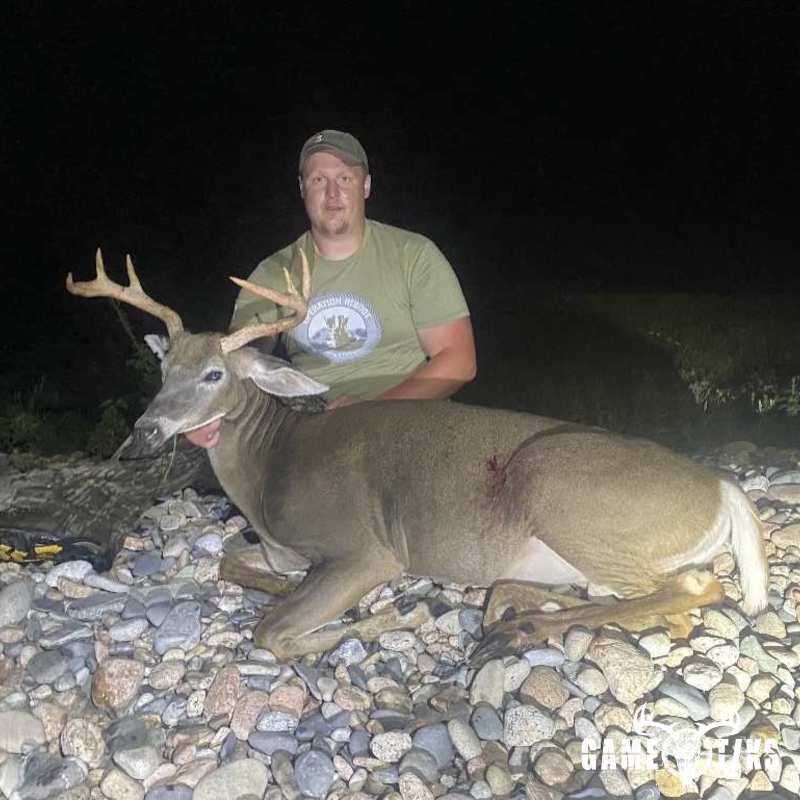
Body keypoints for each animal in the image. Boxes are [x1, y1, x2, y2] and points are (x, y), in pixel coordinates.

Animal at [66, 248, 769, 663]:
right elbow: (230, 567)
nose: (143, 434)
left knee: (694, 589)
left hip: (563, 491)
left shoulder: (367, 548)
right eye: (166, 369)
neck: (269, 474)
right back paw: (511, 604)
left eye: (215, 374)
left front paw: (391, 614)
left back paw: (517, 627)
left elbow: (273, 632)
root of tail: (723, 489)